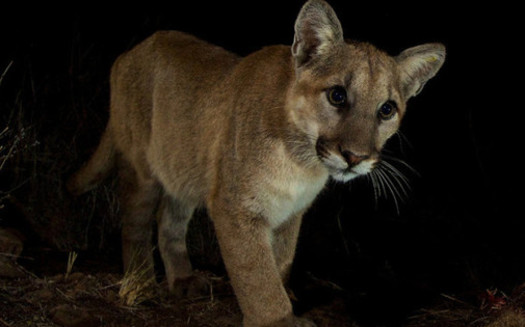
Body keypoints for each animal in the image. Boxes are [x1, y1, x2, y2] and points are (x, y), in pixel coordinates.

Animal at [68, 0, 446, 327]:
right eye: (337, 95)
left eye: (387, 109)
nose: (355, 157)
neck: (302, 162)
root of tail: (130, 52)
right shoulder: (235, 206)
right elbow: (256, 274)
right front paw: (277, 320)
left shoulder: (290, 213)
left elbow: (279, 263)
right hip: (140, 167)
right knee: (134, 223)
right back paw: (141, 284)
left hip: (184, 168)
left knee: (169, 221)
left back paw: (184, 280)